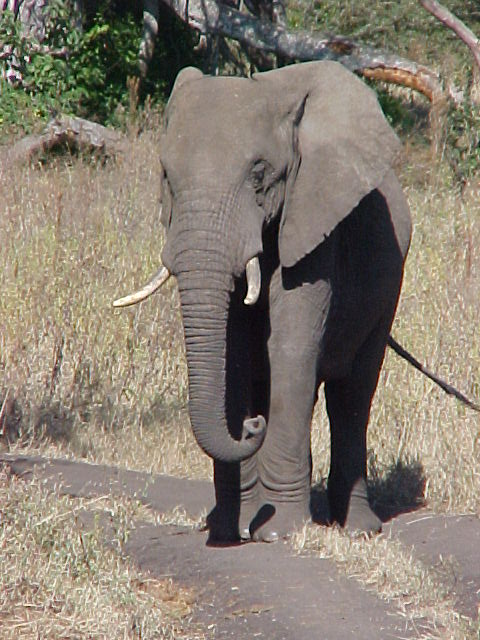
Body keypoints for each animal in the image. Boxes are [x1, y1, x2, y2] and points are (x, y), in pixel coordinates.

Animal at [114, 60, 410, 544]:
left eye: (259, 174)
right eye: (166, 177)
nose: (253, 426)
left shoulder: (311, 222)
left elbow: (290, 350)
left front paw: (281, 531)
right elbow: (234, 355)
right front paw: (232, 525)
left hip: (390, 286)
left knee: (352, 395)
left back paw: (358, 530)